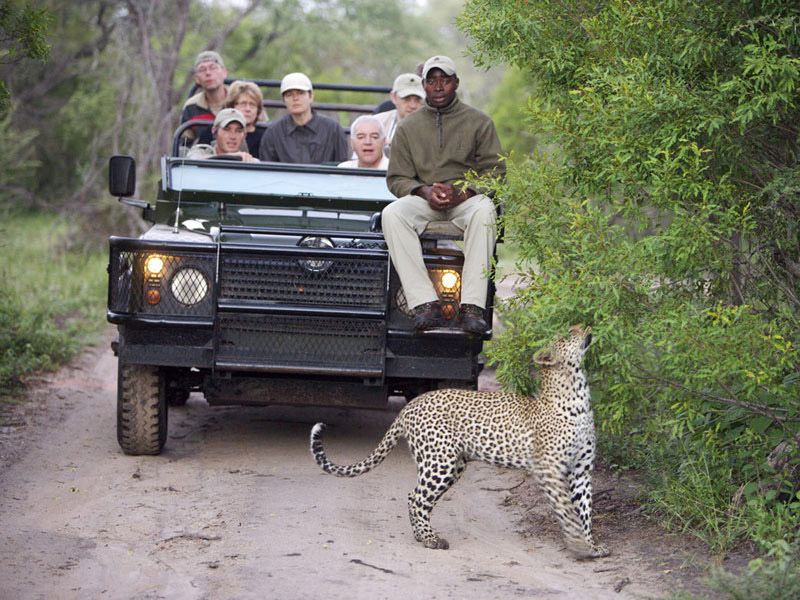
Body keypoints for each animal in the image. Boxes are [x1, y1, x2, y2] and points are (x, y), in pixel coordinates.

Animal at [310, 324, 608, 556]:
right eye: (568, 334)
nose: (586, 325)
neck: (579, 396)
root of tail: (411, 406)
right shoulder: (549, 469)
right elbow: (567, 509)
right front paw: (579, 545)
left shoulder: (581, 470)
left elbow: (584, 509)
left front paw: (591, 546)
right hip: (440, 462)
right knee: (416, 498)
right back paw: (431, 539)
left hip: (451, 465)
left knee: (415, 496)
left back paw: (422, 536)